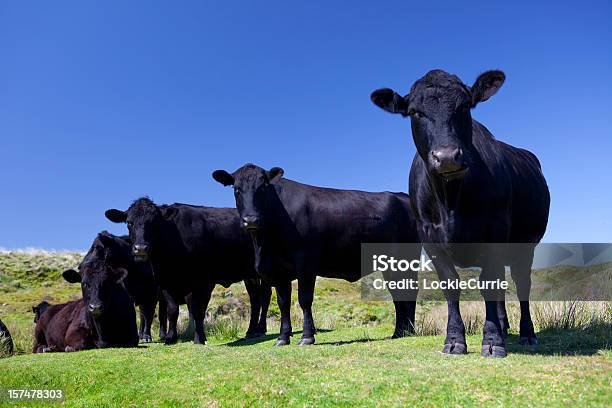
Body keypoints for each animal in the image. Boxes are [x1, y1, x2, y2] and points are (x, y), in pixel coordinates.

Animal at [104, 198, 272, 344]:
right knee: (255, 298)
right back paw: (251, 331)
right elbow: (172, 311)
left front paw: (199, 338)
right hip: (250, 274)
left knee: (264, 296)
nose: (140, 248)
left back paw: (260, 329)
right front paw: (170, 338)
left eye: (154, 223)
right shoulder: (165, 282)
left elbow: (197, 310)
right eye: (129, 223)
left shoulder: (203, 282)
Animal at [212, 164, 420, 346]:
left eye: (262, 188)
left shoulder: (306, 262)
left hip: (406, 259)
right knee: (399, 294)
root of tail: (403, 197)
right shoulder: (278, 270)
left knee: (408, 292)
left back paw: (406, 331)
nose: (251, 220)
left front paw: (306, 337)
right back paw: (401, 332)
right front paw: (283, 338)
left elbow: (304, 299)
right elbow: (283, 303)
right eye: (236, 190)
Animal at [370, 68, 552, 356]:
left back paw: (526, 333)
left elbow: (489, 283)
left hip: (526, 245)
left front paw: (492, 341)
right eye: (415, 112)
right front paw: (455, 340)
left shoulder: (495, 232)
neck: (451, 201)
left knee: (522, 283)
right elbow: (451, 285)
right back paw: (505, 327)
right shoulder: (429, 237)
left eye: (465, 106)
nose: (446, 157)